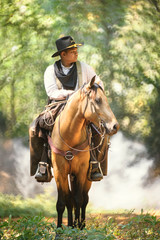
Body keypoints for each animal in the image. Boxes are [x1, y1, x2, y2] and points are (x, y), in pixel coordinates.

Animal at [50, 76, 119, 232]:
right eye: (98, 100)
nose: (115, 126)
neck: (68, 135)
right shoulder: (59, 172)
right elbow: (62, 202)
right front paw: (60, 229)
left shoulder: (81, 171)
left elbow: (78, 199)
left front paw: (78, 229)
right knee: (70, 199)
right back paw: (71, 224)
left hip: (87, 177)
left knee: (84, 199)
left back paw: (80, 224)